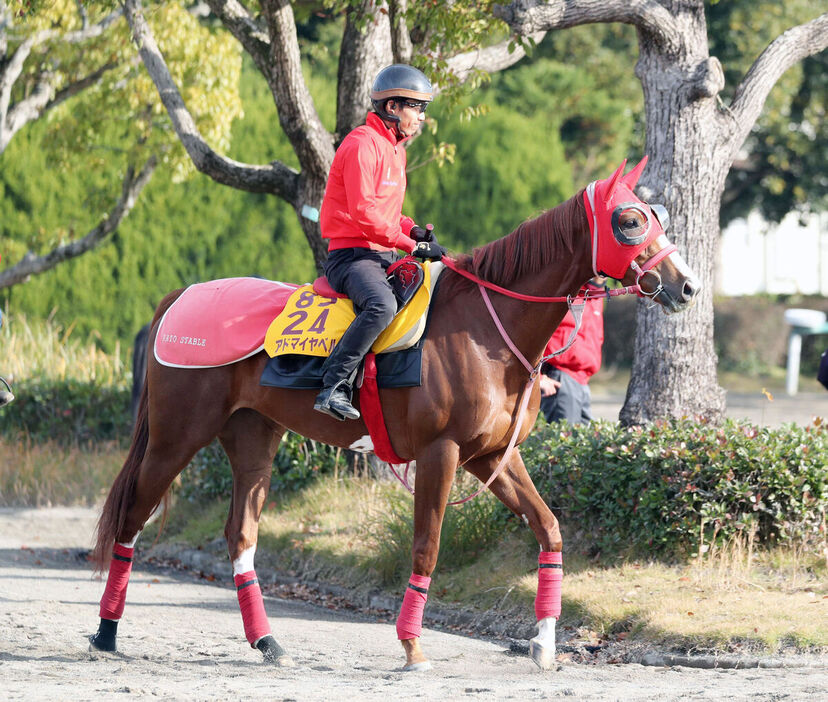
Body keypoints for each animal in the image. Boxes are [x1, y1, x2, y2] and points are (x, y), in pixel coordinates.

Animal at [89, 158, 700, 672]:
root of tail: (180, 295)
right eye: (629, 221)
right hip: (176, 435)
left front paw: (545, 643)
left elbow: (548, 529)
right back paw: (106, 633)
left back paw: (267, 641)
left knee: (240, 534)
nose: (687, 286)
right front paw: (411, 646)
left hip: (253, 437)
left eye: (657, 217)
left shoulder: (492, 458)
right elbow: (427, 546)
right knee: (132, 518)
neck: (485, 328)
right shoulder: (441, 453)